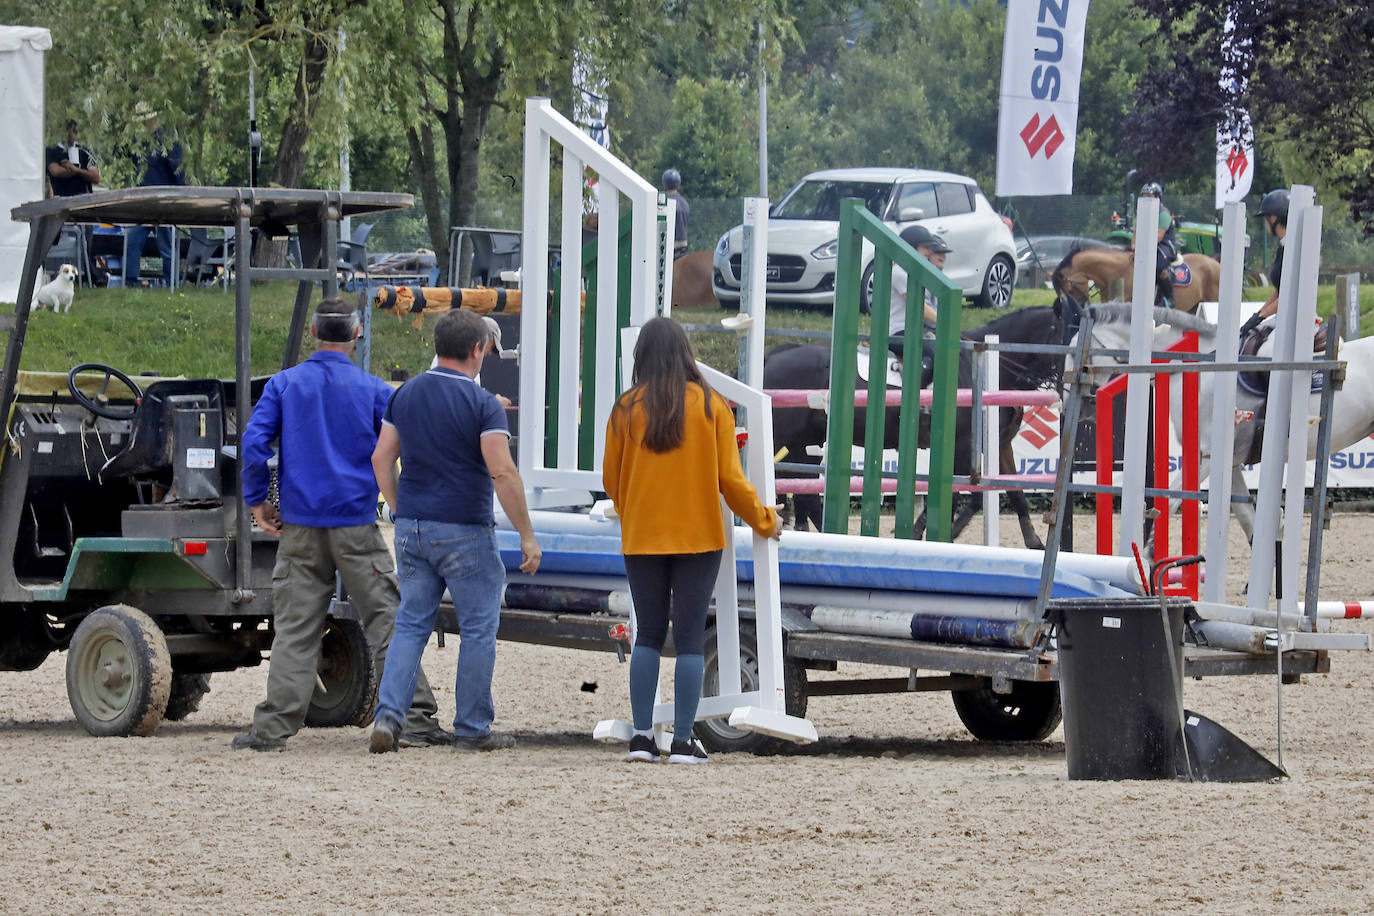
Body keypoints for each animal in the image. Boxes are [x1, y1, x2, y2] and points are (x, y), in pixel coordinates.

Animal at [769, 306, 1066, 552]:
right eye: (1066, 338)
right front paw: (932, 533)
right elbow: (963, 498)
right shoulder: (961, 446)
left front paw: (1035, 542)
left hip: (804, 441)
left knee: (805, 492)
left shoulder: (1002, 445)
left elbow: (1015, 494)